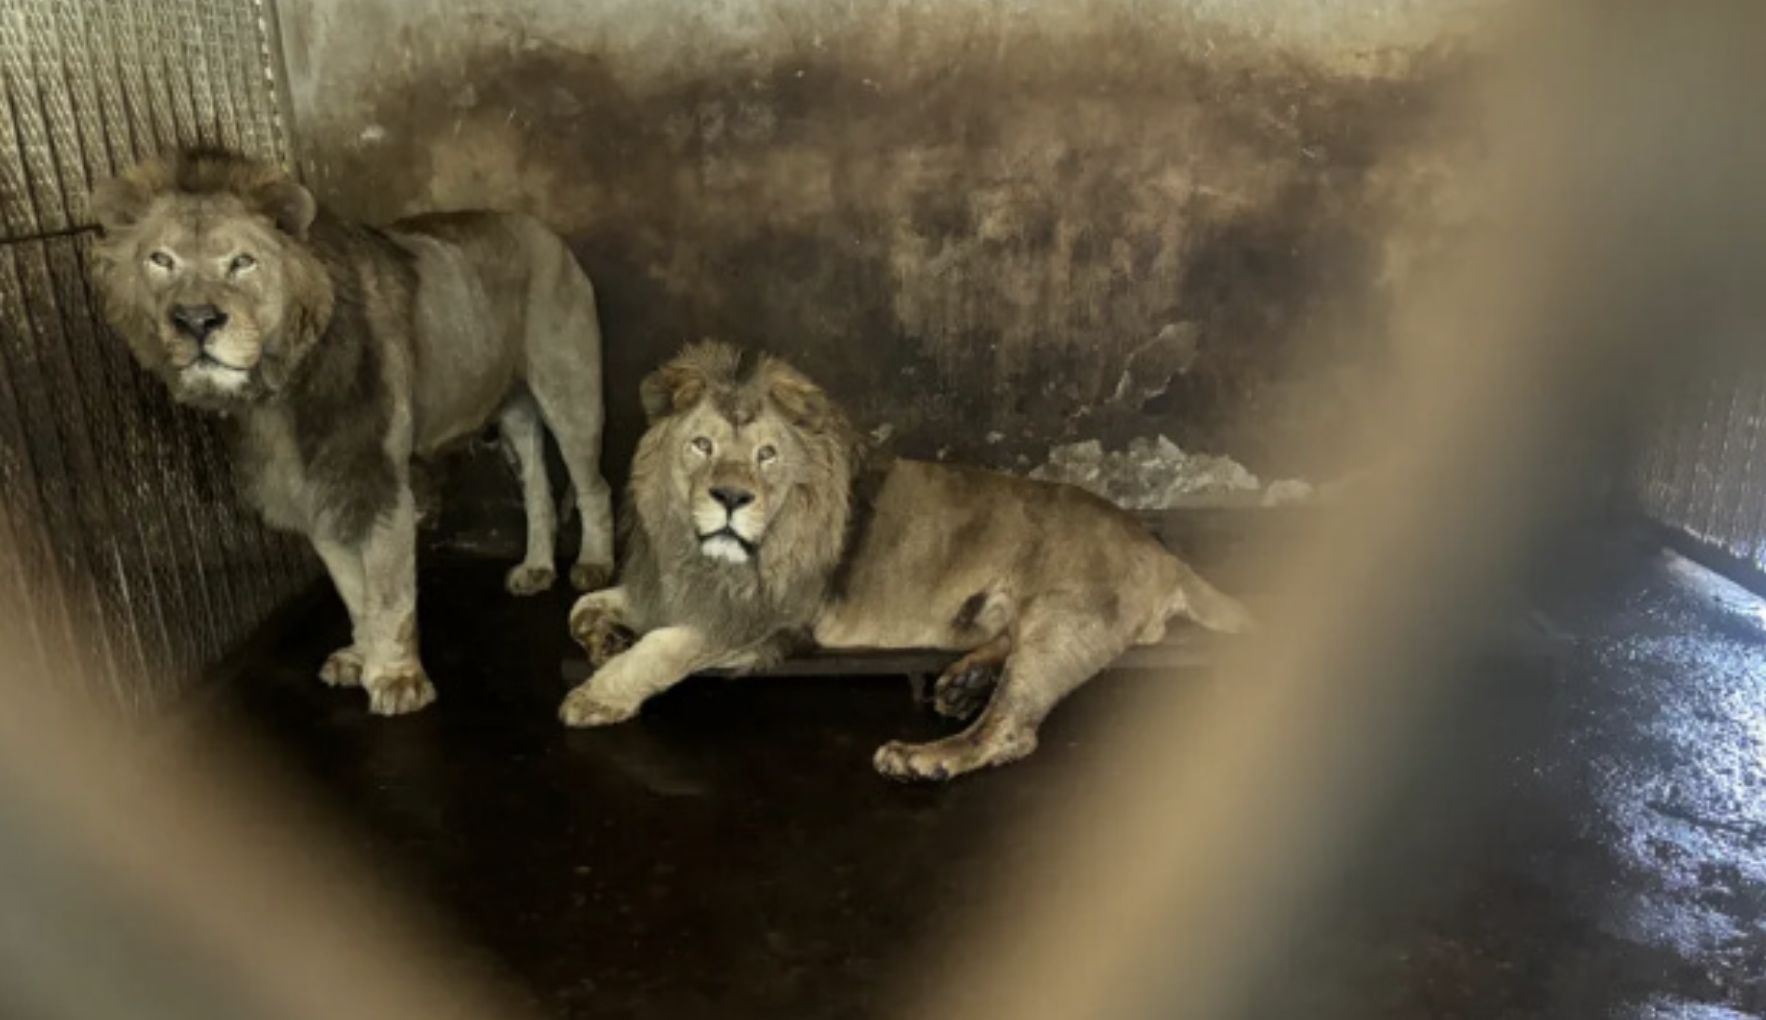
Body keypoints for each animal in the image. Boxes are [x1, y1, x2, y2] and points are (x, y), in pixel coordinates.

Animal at [89, 150, 614, 709]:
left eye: (242, 262)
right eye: (161, 260)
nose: (194, 320)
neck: (275, 397)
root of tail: (541, 228)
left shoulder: (377, 479)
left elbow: (387, 590)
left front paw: (399, 679)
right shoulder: (315, 492)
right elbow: (353, 590)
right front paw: (362, 658)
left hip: (570, 389)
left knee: (593, 486)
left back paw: (593, 564)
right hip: (511, 405)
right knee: (537, 487)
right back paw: (537, 568)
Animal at [558, 342, 1250, 776]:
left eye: (766, 456)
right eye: (701, 445)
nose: (730, 498)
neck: (703, 556)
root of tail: (1159, 549)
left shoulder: (767, 621)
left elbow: (665, 647)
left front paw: (597, 695)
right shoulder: (666, 587)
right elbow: (584, 606)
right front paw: (603, 639)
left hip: (1066, 622)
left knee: (1010, 729)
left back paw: (924, 757)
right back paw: (963, 681)